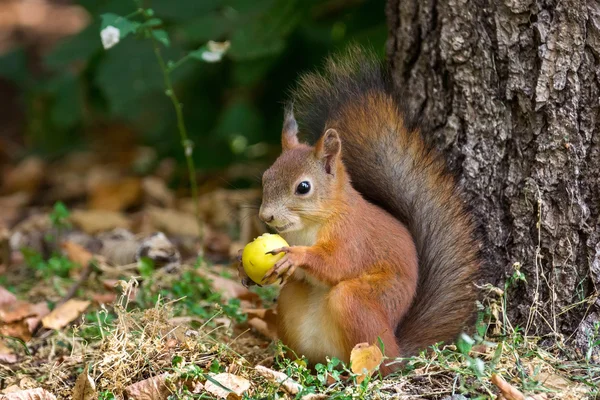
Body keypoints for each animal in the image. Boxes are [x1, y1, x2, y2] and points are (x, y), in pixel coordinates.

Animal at [238, 47, 478, 376]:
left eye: (303, 187)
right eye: (266, 177)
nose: (266, 217)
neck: (311, 224)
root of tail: (399, 353)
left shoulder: (352, 235)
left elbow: (337, 262)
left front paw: (298, 256)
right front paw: (244, 269)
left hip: (357, 304)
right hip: (293, 305)